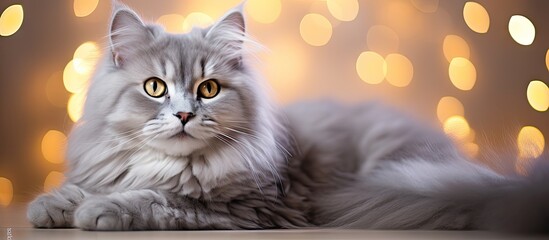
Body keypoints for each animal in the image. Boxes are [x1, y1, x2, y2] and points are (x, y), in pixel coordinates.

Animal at [26, 0, 548, 232]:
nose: (184, 115)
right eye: (155, 88)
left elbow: (156, 199)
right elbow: (87, 187)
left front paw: (100, 211)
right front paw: (51, 205)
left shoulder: (246, 207)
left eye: (208, 89)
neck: (169, 165)